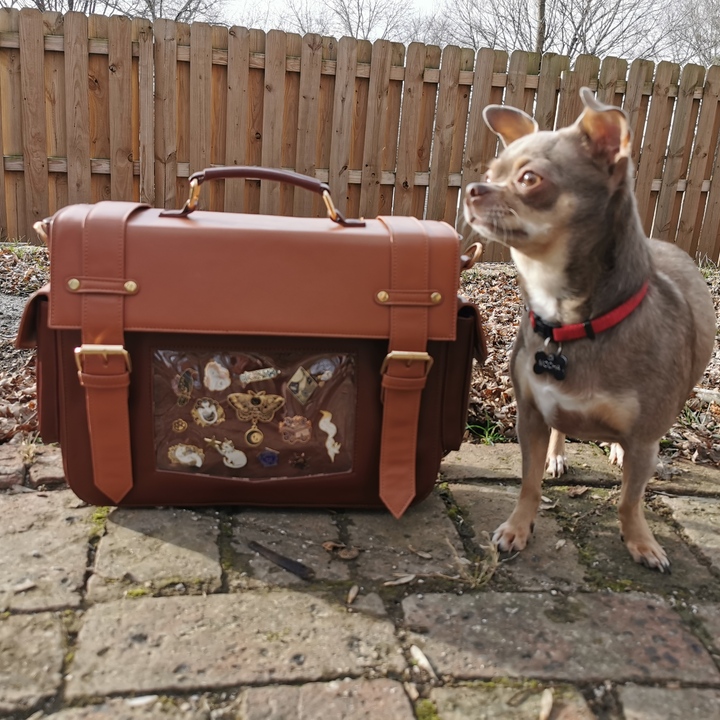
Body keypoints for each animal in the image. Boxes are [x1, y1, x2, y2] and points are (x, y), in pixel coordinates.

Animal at [462, 88, 716, 572]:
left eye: (529, 179)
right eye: (490, 173)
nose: (472, 189)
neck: (569, 325)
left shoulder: (645, 438)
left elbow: (631, 498)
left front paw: (641, 542)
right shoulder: (530, 415)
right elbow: (529, 482)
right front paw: (518, 527)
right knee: (562, 428)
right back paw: (559, 455)